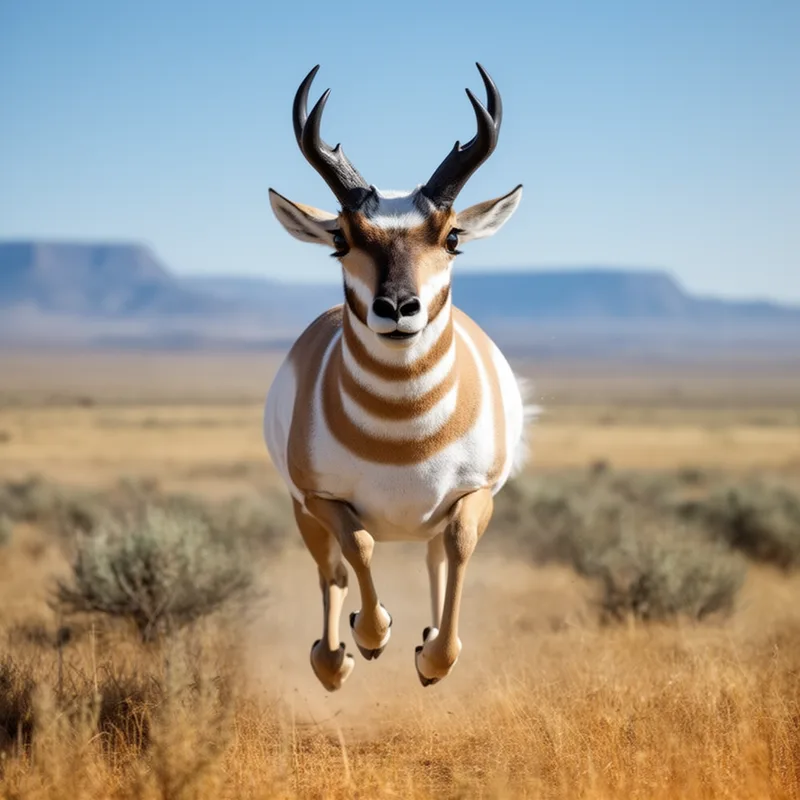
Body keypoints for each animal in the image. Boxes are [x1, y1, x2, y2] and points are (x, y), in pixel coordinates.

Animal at [264, 63, 535, 690]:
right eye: (341, 238)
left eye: (452, 236)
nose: (396, 309)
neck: (403, 436)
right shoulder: (322, 499)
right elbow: (359, 547)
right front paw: (373, 633)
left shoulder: (474, 495)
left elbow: (458, 548)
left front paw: (432, 657)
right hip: (301, 512)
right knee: (332, 572)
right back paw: (335, 658)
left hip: (424, 522)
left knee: (436, 560)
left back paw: (426, 639)